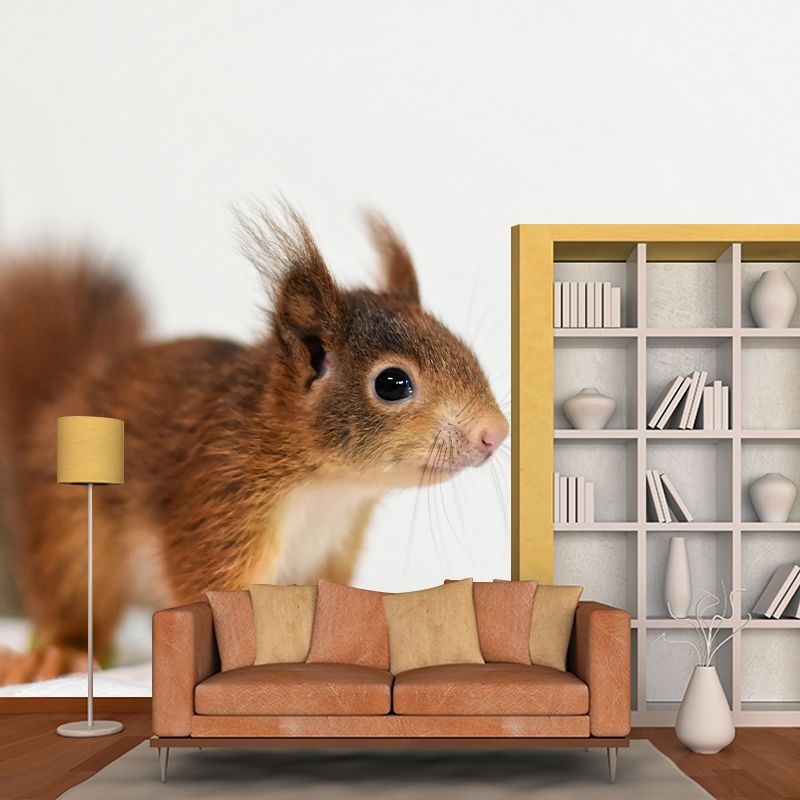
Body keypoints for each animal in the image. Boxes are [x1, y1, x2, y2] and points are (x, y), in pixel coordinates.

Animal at [0, 205, 508, 683]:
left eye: (459, 345)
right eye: (392, 383)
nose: (496, 432)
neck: (329, 487)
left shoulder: (332, 548)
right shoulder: (220, 496)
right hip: (70, 535)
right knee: (75, 606)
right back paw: (56, 655)